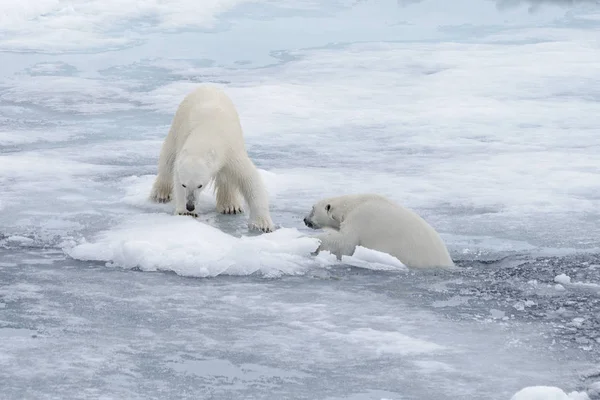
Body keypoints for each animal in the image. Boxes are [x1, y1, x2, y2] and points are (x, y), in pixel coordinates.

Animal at [149, 86, 276, 233]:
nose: (190, 206)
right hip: (176, 124)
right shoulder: (183, 146)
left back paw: (230, 206)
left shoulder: (231, 152)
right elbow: (175, 174)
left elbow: (249, 179)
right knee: (167, 159)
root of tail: (206, 86)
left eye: (200, 185)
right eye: (184, 184)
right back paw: (161, 194)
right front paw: (184, 211)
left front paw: (262, 224)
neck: (207, 131)